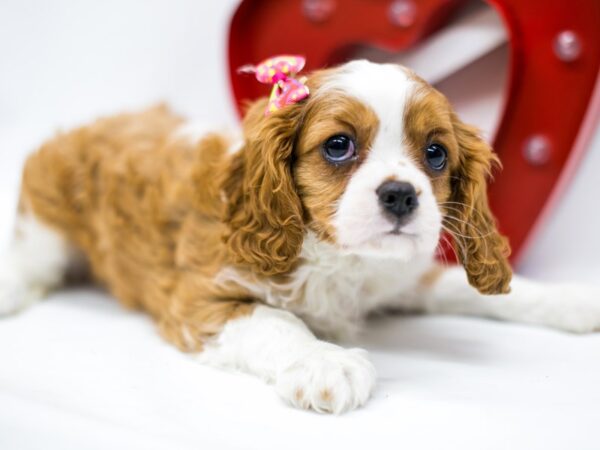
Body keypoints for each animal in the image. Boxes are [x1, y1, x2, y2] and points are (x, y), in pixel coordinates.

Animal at [3, 60, 600, 414]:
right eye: (338, 145)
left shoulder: (401, 272)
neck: (339, 257)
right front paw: (324, 362)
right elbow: (276, 320)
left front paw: (571, 300)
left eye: (436, 154)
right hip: (48, 227)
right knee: (31, 260)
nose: (401, 195)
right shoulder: (199, 298)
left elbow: (461, 286)